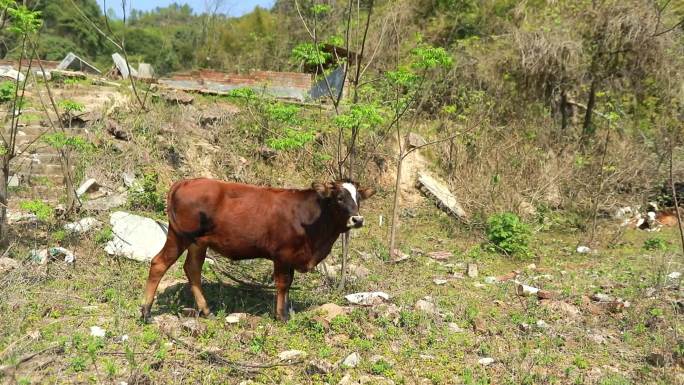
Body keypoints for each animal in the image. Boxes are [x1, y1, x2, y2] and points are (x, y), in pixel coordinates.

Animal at [140, 178, 374, 320]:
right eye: (339, 198)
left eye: (358, 199)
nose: (358, 219)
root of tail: (185, 181)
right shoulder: (282, 255)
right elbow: (283, 284)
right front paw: (281, 315)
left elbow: (288, 284)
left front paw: (284, 311)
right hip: (180, 236)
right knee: (159, 263)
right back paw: (146, 311)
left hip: (199, 242)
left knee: (192, 269)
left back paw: (205, 310)